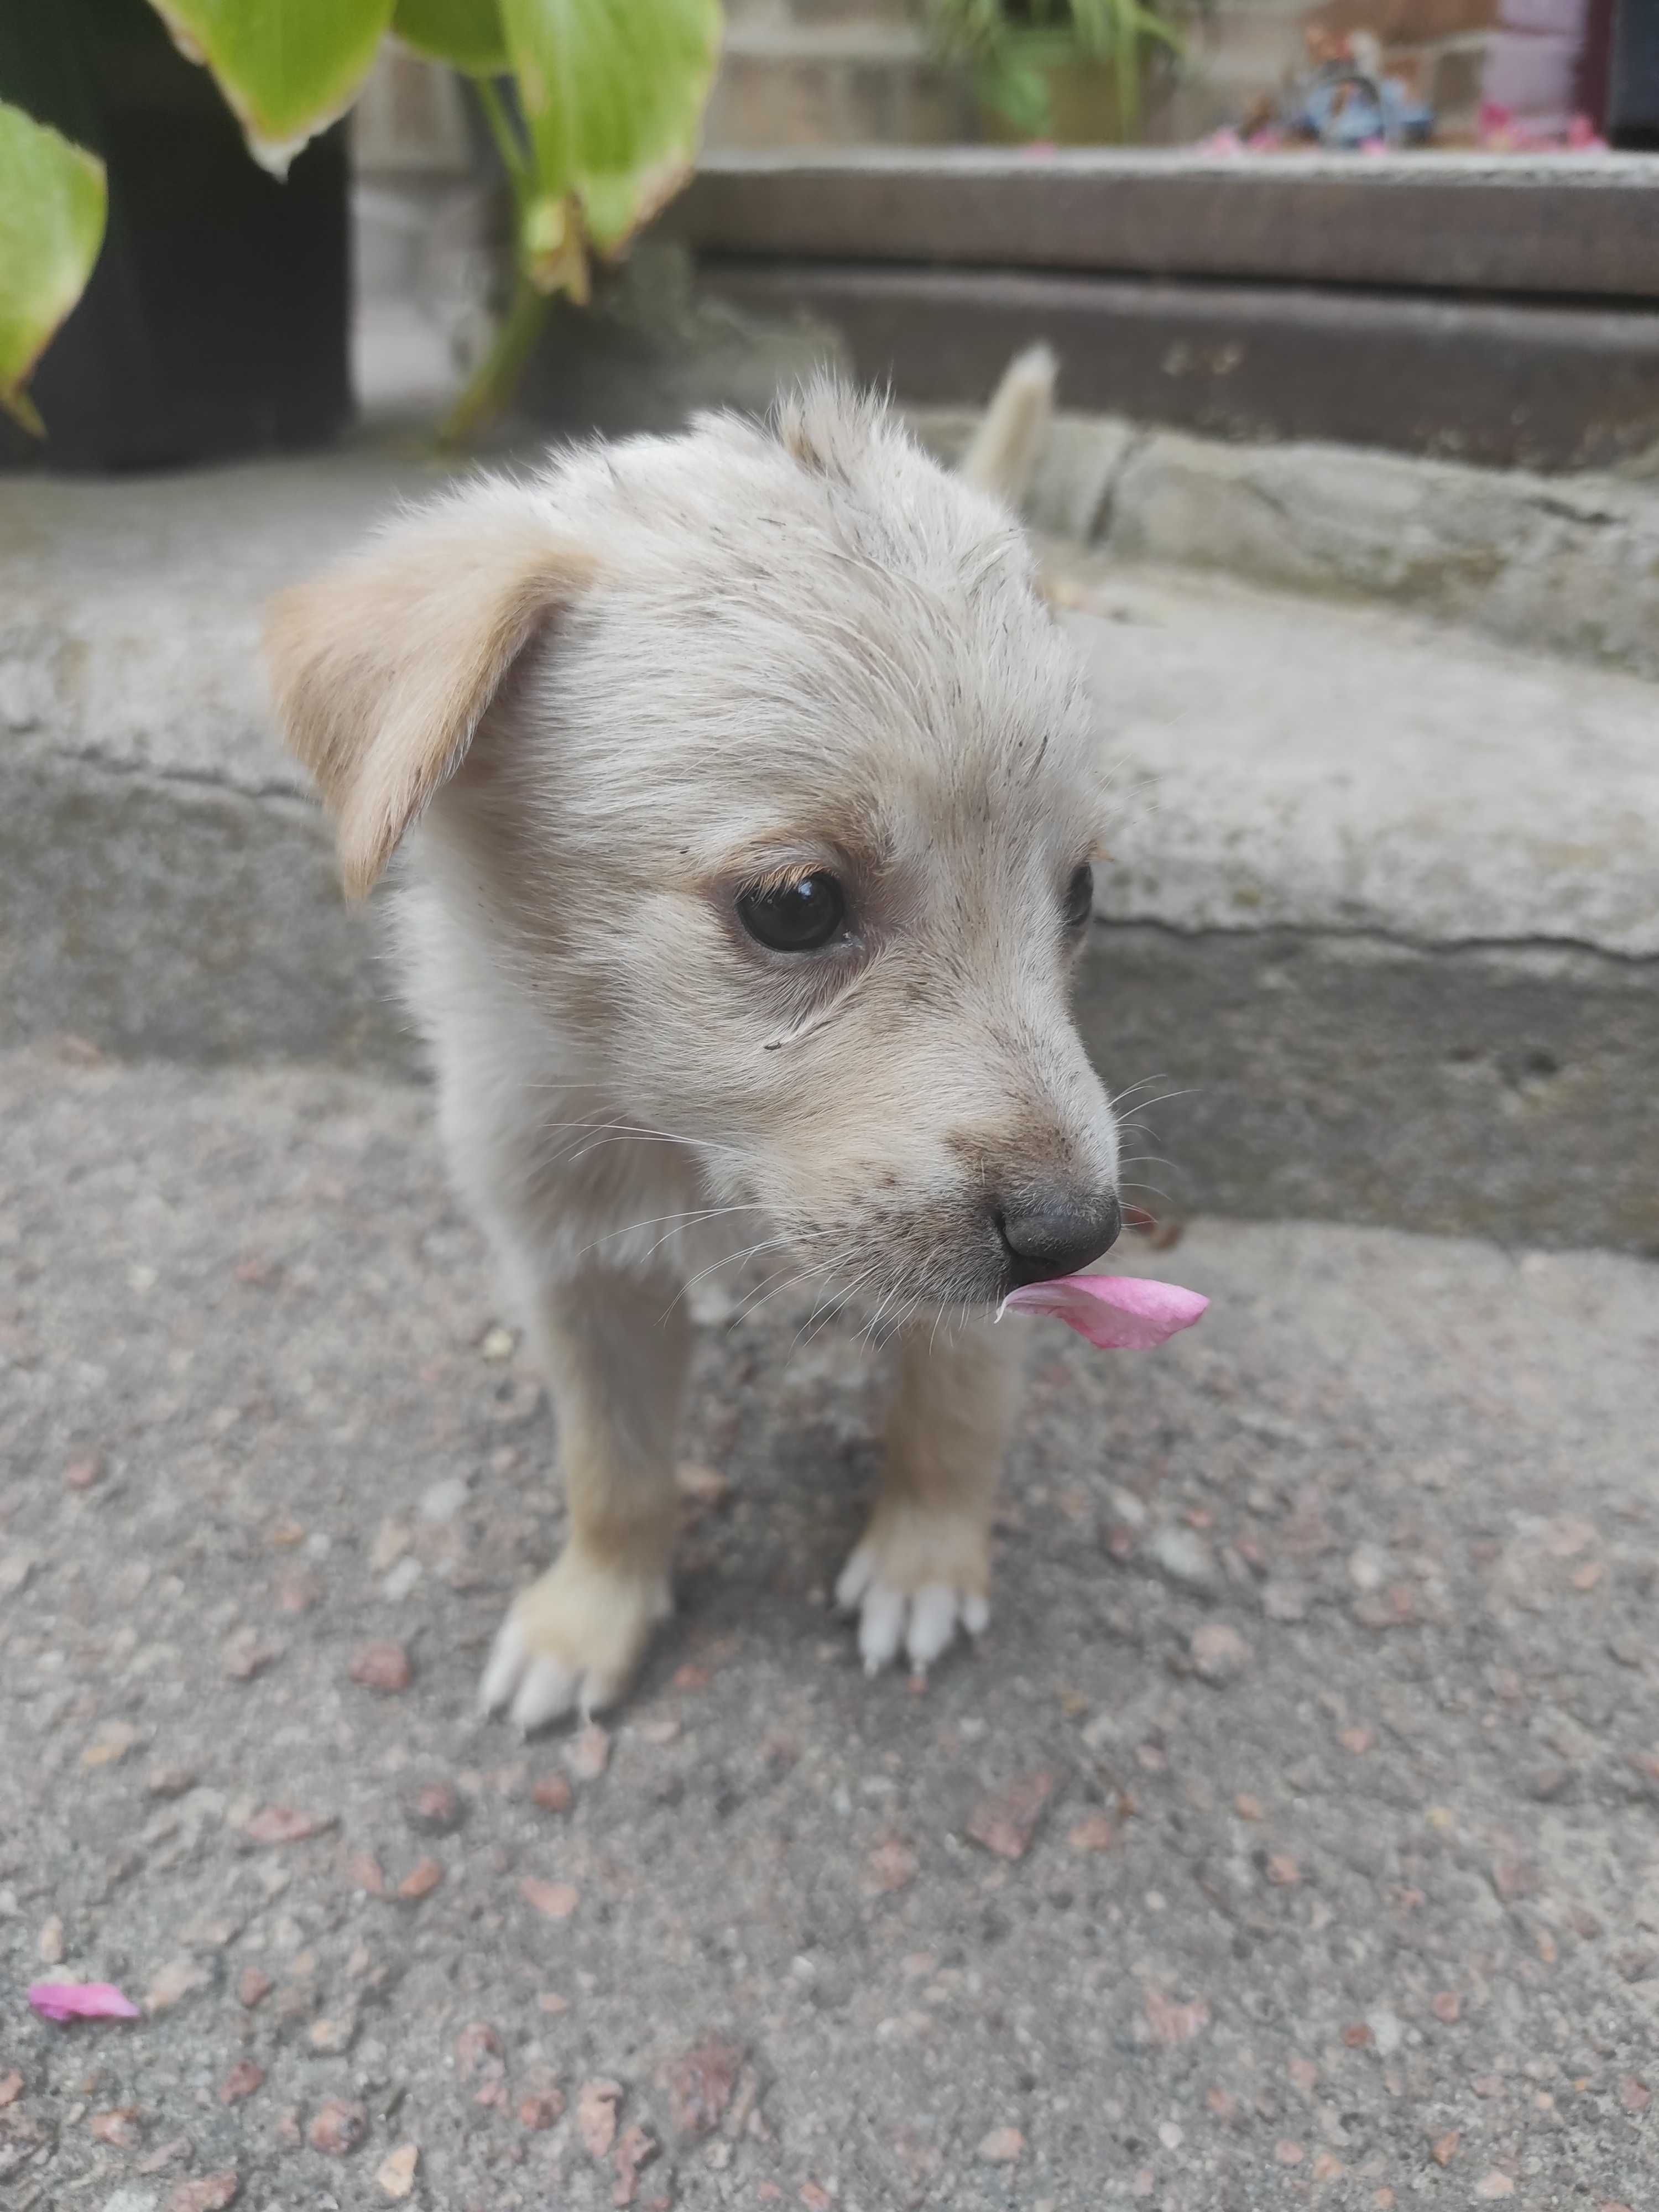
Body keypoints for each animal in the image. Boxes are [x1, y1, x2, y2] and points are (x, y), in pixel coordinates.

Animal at [267, 354, 1124, 1725]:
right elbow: (612, 1472)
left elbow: (955, 1406)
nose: (1079, 1236)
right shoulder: (571, 1266)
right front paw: (590, 1616)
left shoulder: (978, 1290)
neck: (675, 1138)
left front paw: (926, 1558)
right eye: (798, 902)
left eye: (1080, 893)